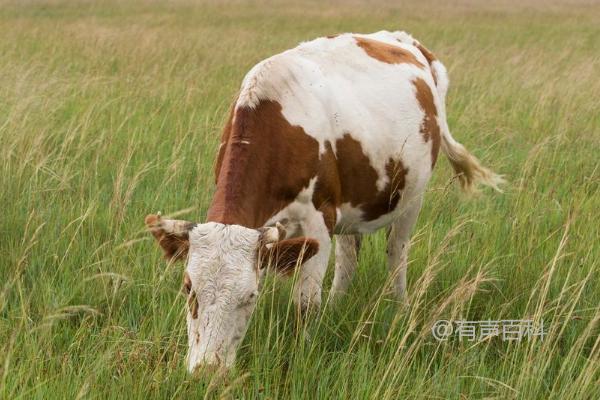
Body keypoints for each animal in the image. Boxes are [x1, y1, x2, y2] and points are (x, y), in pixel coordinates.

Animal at [144, 30, 502, 372]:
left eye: (250, 296)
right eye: (188, 288)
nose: (207, 370)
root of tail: (405, 40)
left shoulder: (318, 221)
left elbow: (305, 304)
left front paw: (302, 351)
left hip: (411, 198)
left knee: (396, 254)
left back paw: (399, 308)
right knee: (349, 257)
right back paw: (337, 306)